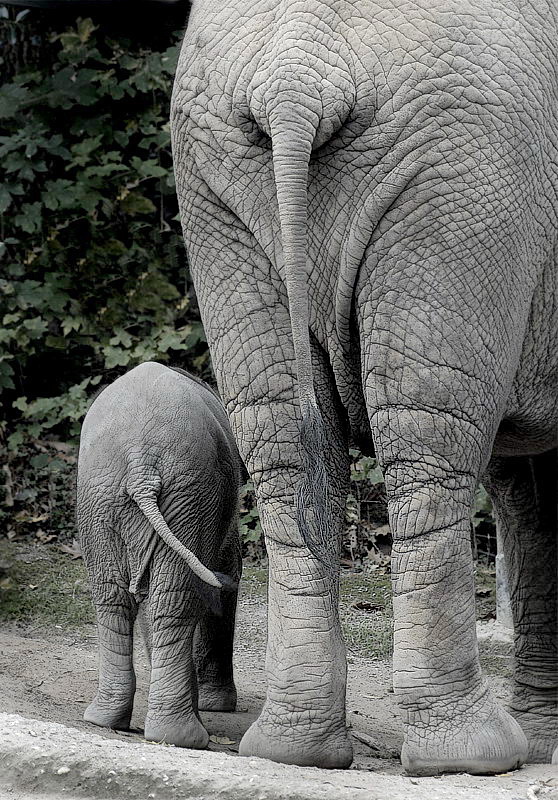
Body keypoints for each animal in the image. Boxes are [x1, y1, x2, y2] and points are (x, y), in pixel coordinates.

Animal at [77, 360, 245, 748]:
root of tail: (140, 461)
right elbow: (225, 577)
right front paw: (215, 706)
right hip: (182, 493)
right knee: (171, 599)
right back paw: (183, 735)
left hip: (114, 495)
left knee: (117, 599)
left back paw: (106, 720)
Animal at [171, 0, 558, 776]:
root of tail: (297, 74)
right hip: (461, 185)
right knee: (428, 440)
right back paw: (471, 757)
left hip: (215, 184)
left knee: (284, 443)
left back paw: (296, 749)